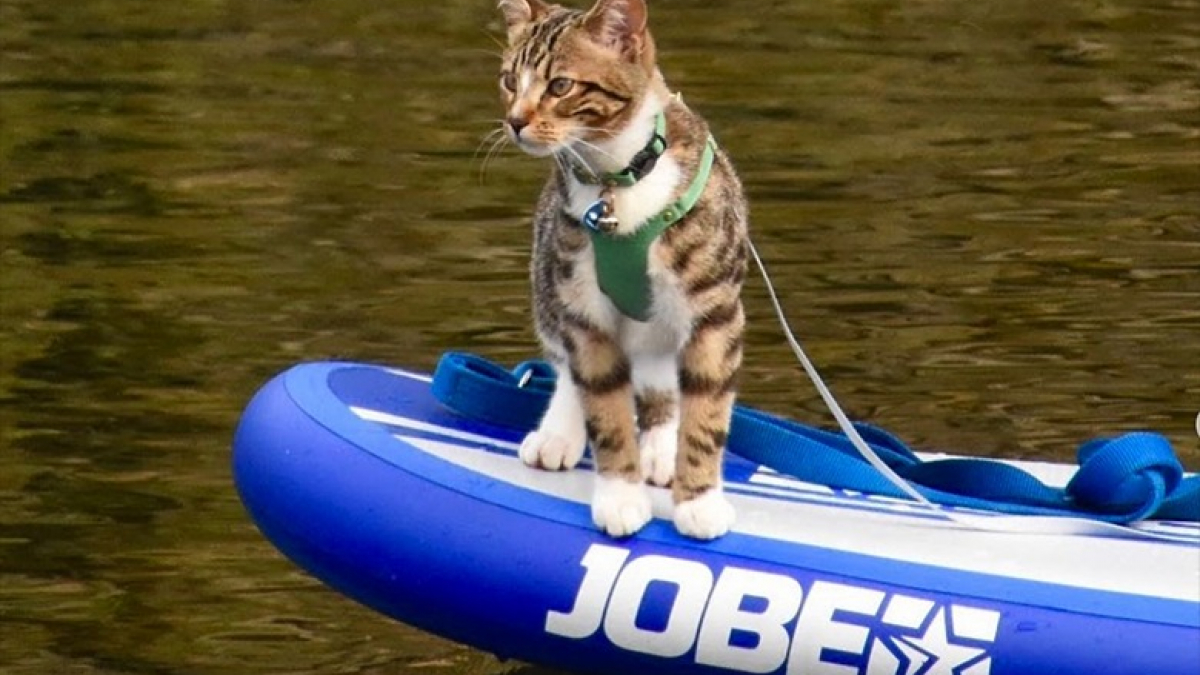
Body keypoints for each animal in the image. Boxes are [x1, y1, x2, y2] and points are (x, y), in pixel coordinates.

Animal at [492, 0, 744, 538]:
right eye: (508, 80)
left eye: (560, 86)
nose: (515, 121)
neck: (618, 180)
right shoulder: (581, 304)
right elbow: (603, 404)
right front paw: (620, 497)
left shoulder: (715, 309)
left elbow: (707, 404)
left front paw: (699, 500)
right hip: (548, 277)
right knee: (572, 366)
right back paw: (558, 433)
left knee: (664, 381)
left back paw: (662, 449)